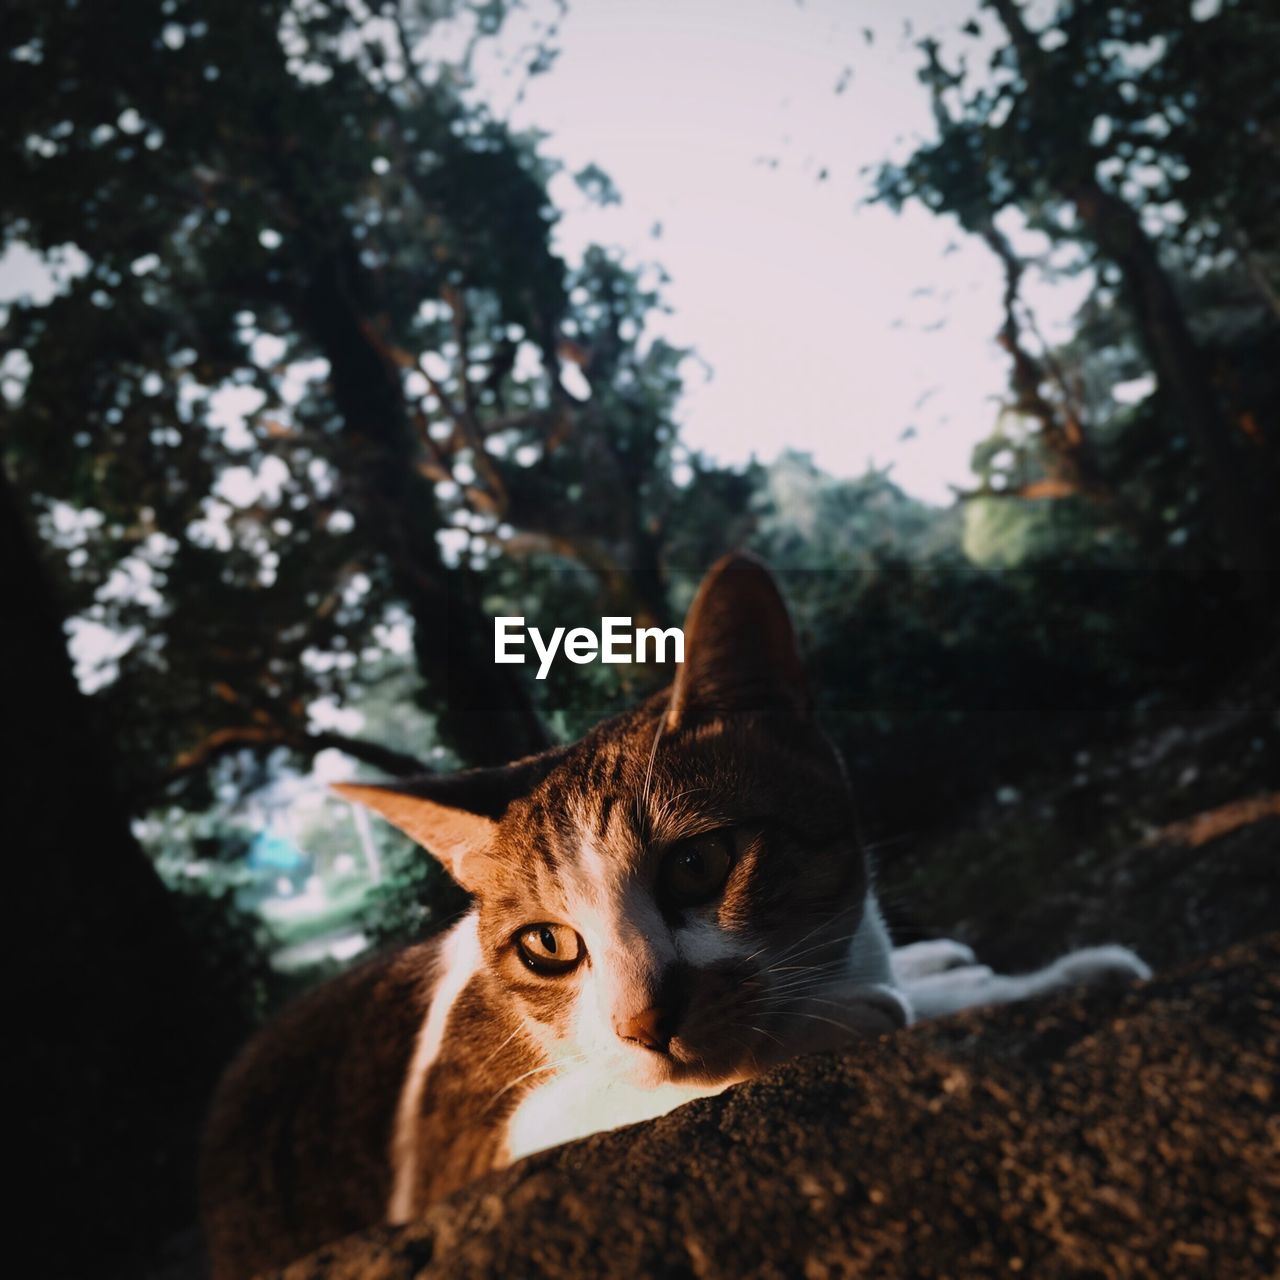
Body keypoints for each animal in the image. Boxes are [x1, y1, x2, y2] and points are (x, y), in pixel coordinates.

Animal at [199, 552, 1152, 1280]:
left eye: (698, 866)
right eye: (548, 945)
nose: (643, 1020)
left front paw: (1040, 976)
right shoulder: (466, 1147)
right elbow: (654, 1083)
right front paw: (857, 1013)